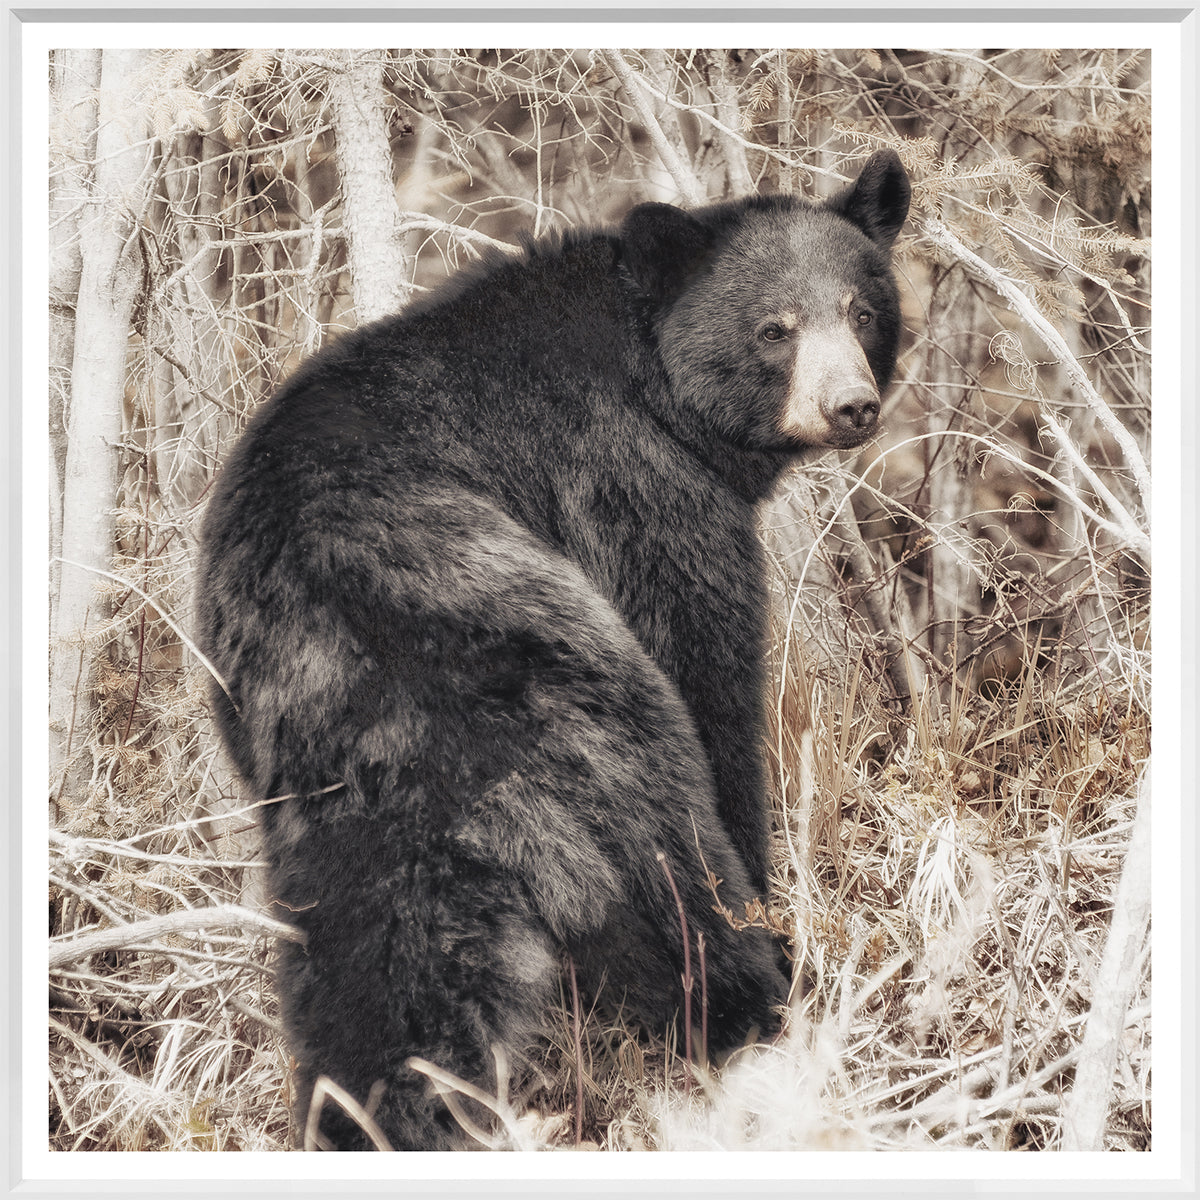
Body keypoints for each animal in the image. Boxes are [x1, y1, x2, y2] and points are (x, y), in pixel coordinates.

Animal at [195, 148, 910, 1151]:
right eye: (776, 328)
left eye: (861, 309)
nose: (850, 406)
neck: (656, 377)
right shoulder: (633, 485)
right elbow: (707, 664)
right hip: (573, 696)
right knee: (663, 856)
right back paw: (757, 998)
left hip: (323, 788)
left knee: (375, 966)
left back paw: (371, 1117)